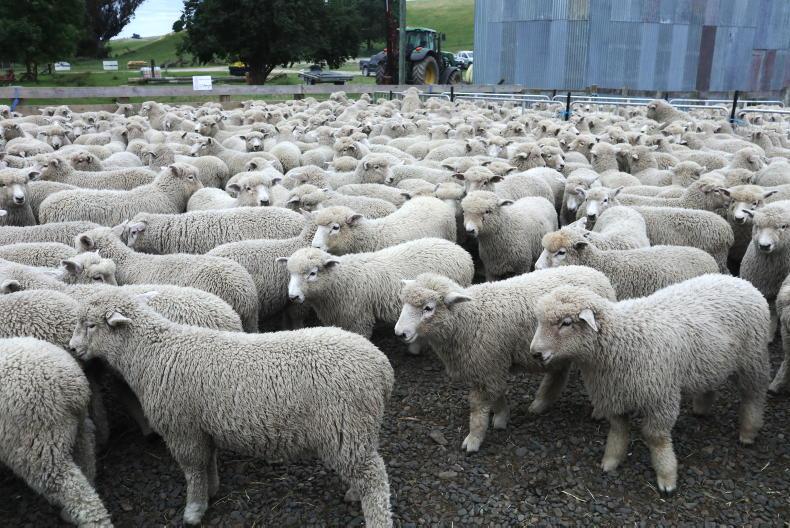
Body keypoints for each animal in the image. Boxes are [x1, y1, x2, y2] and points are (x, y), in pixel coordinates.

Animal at [70, 289, 394, 527]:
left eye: (91, 325)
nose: (72, 349)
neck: (153, 352)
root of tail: (381, 365)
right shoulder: (201, 425)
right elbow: (208, 461)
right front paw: (211, 490)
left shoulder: (181, 428)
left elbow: (193, 469)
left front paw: (194, 509)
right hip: (358, 429)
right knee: (365, 466)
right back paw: (353, 492)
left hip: (344, 424)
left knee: (375, 478)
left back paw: (377, 518)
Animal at [394, 266, 616, 452]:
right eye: (404, 304)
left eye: (428, 308)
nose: (399, 333)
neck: (470, 318)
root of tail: (596, 273)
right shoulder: (490, 366)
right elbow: (498, 392)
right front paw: (501, 416)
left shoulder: (489, 364)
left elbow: (478, 406)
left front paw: (475, 438)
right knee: (558, 372)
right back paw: (541, 403)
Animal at [530, 275, 770, 493]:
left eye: (566, 323)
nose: (535, 353)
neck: (620, 340)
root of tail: (740, 281)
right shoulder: (613, 395)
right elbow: (618, 430)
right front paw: (611, 461)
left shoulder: (661, 398)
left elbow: (656, 438)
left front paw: (666, 477)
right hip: (711, 360)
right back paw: (702, 408)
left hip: (752, 360)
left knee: (754, 396)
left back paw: (748, 432)